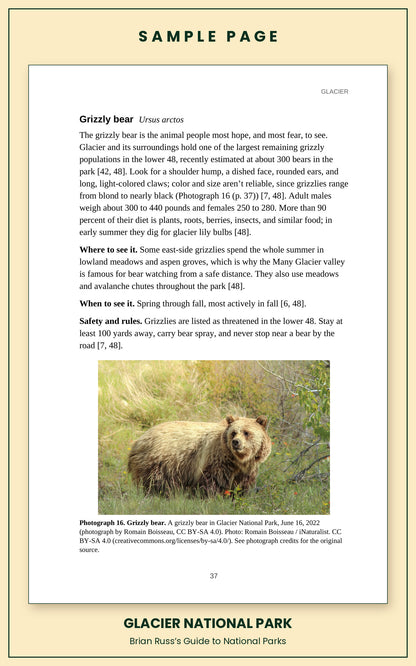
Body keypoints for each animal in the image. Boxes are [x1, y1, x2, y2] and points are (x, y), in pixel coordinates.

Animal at [127, 415, 271, 496]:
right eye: (234, 432)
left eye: (246, 432)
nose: (236, 442)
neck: (237, 460)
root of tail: (138, 440)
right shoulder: (215, 460)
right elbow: (212, 482)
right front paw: (211, 497)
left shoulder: (245, 470)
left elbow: (241, 486)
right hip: (158, 461)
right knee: (154, 482)